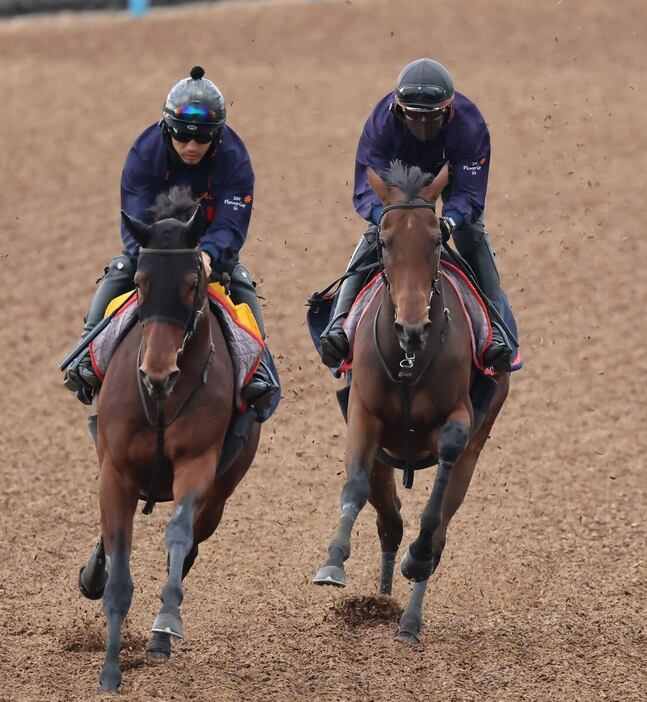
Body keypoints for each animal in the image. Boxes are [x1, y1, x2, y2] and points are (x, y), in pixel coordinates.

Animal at [74, 190, 260, 696]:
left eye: (192, 282)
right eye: (140, 281)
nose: (157, 373)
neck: (160, 400)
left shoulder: (198, 464)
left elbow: (178, 534)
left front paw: (166, 623)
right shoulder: (115, 472)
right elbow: (118, 569)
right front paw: (109, 672)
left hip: (222, 491)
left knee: (191, 540)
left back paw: (159, 635)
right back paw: (93, 575)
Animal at [314, 162, 512, 648]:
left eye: (436, 241)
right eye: (384, 242)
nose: (412, 326)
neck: (410, 359)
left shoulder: (461, 417)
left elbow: (442, 478)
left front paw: (416, 561)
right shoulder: (363, 416)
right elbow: (356, 487)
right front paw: (333, 562)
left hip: (476, 443)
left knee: (436, 528)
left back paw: (408, 620)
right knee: (390, 521)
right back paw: (382, 600)